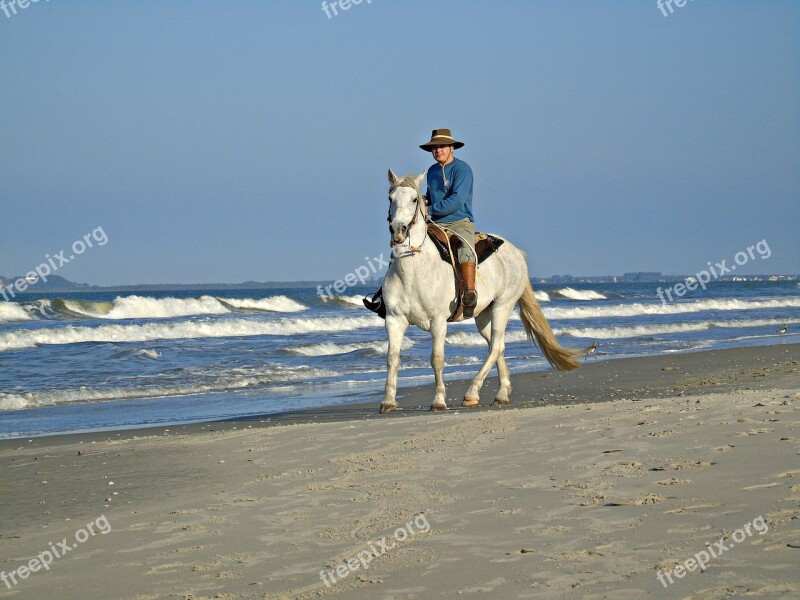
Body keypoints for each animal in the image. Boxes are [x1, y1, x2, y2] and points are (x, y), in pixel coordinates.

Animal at [382, 169, 580, 412]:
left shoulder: (438, 321)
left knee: (495, 347)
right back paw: (501, 394)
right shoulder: (394, 319)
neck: (413, 271)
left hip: (503, 306)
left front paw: (438, 401)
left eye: (413, 199)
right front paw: (388, 401)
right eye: (390, 198)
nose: (398, 230)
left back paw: (471, 393)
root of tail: (516, 252)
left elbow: (437, 359)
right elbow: (392, 359)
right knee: (498, 345)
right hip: (483, 315)